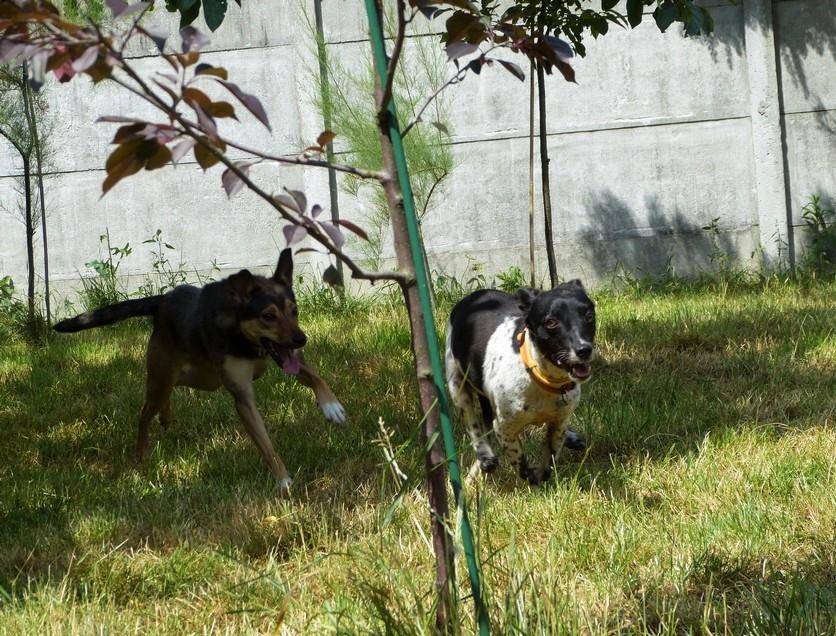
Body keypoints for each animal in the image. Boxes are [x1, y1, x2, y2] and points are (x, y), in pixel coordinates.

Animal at [54, 248, 345, 493]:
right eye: (268, 317)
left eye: (294, 311)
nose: (300, 339)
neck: (247, 341)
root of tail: (162, 301)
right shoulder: (243, 398)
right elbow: (266, 445)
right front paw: (283, 480)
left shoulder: (290, 359)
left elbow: (316, 377)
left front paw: (332, 407)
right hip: (163, 376)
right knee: (145, 412)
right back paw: (141, 451)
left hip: (201, 378)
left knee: (171, 392)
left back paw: (166, 417)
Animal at [445, 280, 596, 485]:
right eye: (551, 322)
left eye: (589, 316)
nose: (584, 350)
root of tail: (473, 297)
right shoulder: (504, 429)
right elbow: (521, 464)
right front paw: (532, 478)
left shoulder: (559, 423)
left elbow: (549, 460)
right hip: (457, 385)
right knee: (474, 427)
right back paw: (485, 457)